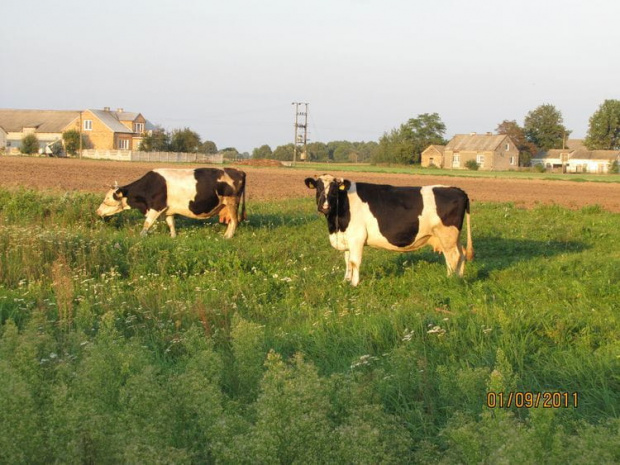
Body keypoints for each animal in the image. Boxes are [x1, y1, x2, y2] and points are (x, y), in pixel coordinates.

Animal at [95, 167, 246, 237]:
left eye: (108, 199)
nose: (98, 211)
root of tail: (239, 171)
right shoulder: (168, 211)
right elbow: (171, 225)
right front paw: (173, 237)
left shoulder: (156, 207)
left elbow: (147, 224)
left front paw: (140, 237)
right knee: (231, 222)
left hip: (232, 202)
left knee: (234, 221)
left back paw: (227, 237)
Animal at [302, 173, 472, 284]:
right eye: (318, 188)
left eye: (335, 190)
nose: (325, 206)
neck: (336, 225)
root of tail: (459, 190)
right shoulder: (347, 238)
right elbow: (347, 261)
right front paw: (346, 280)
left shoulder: (357, 237)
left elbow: (354, 262)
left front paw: (353, 284)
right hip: (452, 237)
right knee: (461, 253)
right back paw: (459, 277)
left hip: (447, 235)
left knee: (453, 256)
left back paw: (450, 279)